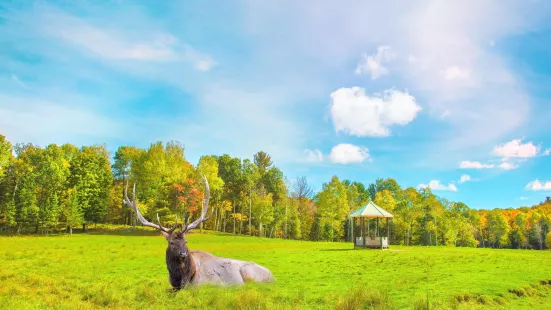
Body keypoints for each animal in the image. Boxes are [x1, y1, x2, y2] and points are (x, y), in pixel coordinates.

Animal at [123, 177, 274, 290]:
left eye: (185, 241)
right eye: (171, 242)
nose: (183, 254)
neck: (183, 279)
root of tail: (273, 277)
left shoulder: (214, 284)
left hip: (249, 274)